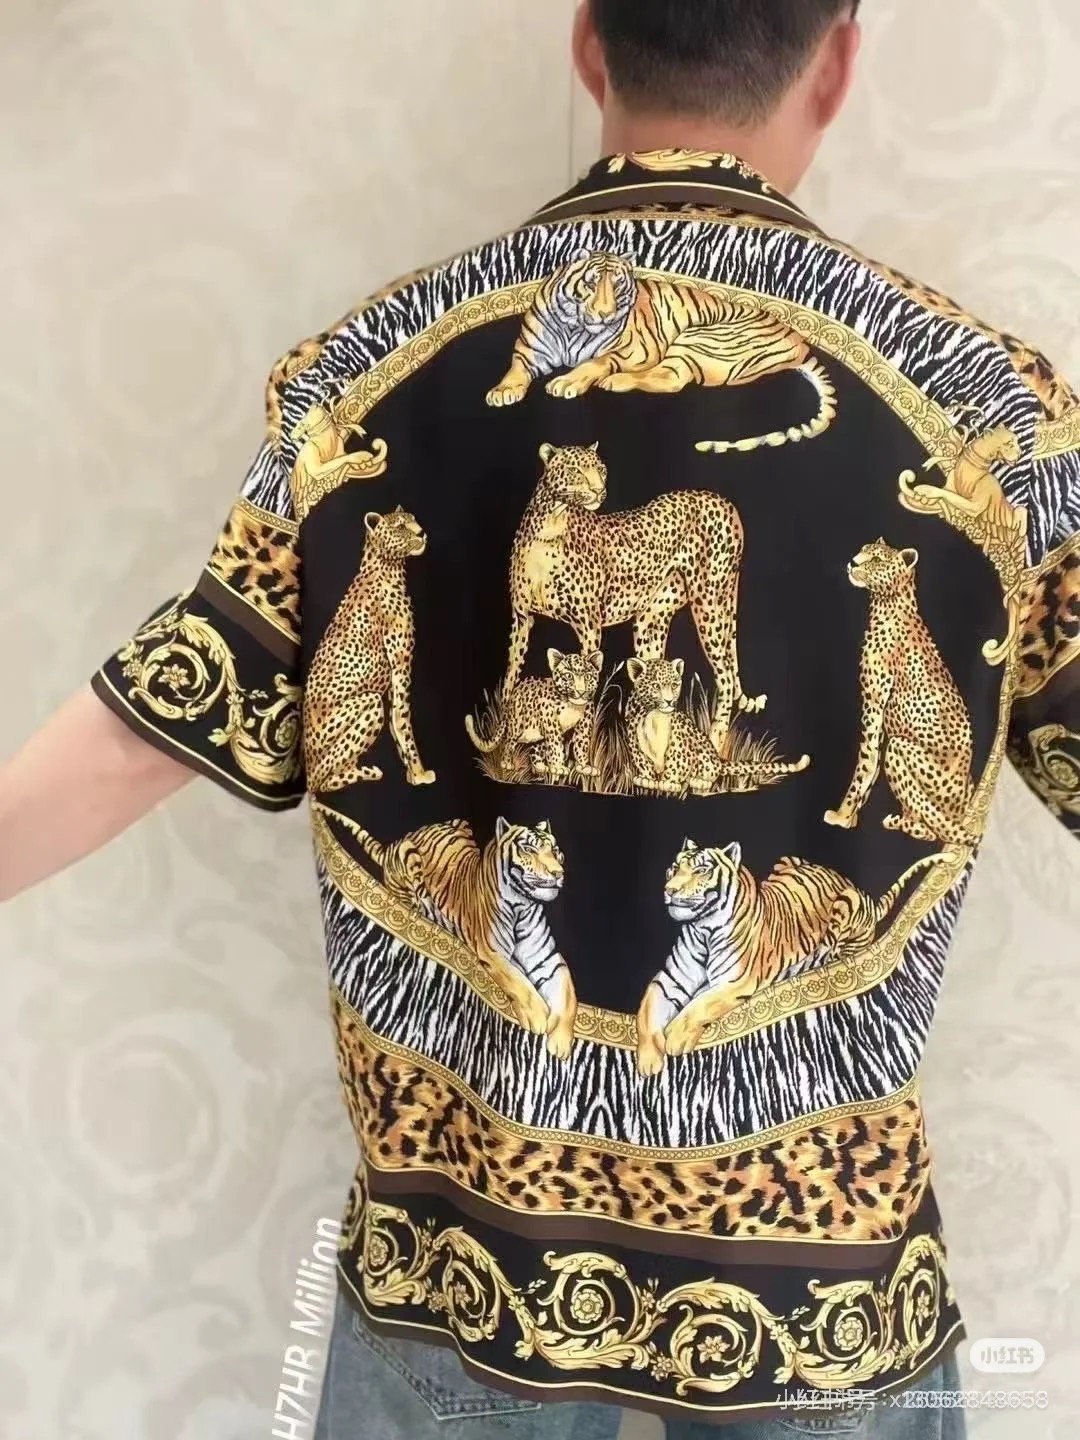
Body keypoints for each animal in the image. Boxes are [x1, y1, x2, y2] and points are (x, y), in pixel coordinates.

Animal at [331, 811, 578, 1060]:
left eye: (555, 850)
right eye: (529, 849)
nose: (558, 873)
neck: (523, 905)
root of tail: (393, 844)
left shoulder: (548, 958)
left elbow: (568, 995)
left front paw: (561, 1043)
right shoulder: (493, 953)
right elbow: (519, 982)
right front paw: (538, 1017)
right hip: (410, 859)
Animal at [465, 649, 602, 782]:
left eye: (588, 676)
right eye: (568, 676)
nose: (581, 691)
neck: (573, 705)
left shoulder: (584, 723)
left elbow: (582, 743)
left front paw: (583, 767)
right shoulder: (551, 722)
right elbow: (555, 745)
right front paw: (558, 767)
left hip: (538, 732)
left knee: (535, 749)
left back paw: (541, 767)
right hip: (516, 725)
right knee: (508, 743)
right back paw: (506, 763)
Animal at [485, 251, 837, 456]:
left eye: (618, 286)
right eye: (592, 284)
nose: (605, 314)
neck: (574, 326)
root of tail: (800, 342)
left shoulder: (635, 350)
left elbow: (597, 361)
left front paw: (567, 382)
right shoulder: (530, 350)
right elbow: (516, 369)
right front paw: (502, 392)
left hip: (699, 337)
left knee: (671, 379)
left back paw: (614, 382)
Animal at [635, 838, 945, 1076]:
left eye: (701, 870)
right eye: (674, 868)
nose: (670, 890)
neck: (703, 928)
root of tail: (863, 893)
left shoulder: (735, 982)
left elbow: (699, 1006)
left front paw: (675, 1037)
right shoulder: (670, 979)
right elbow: (647, 1011)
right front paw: (648, 1061)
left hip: (845, 906)